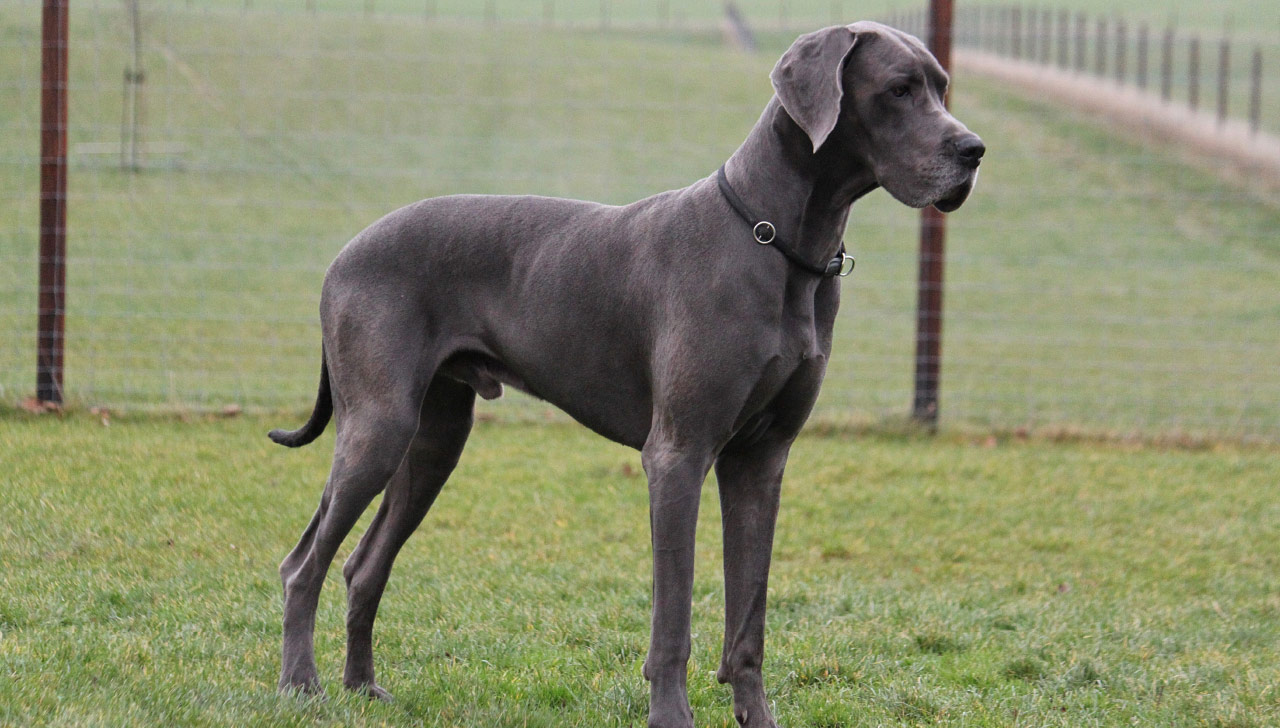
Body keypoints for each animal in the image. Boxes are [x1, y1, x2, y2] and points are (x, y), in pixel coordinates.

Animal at [272, 21, 977, 726]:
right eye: (898, 89)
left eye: (942, 87)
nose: (974, 150)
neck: (775, 242)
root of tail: (343, 255)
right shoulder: (678, 455)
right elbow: (674, 615)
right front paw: (669, 715)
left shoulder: (762, 460)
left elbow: (749, 617)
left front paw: (756, 715)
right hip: (379, 427)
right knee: (302, 564)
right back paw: (301, 684)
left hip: (435, 441)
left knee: (363, 566)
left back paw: (362, 686)